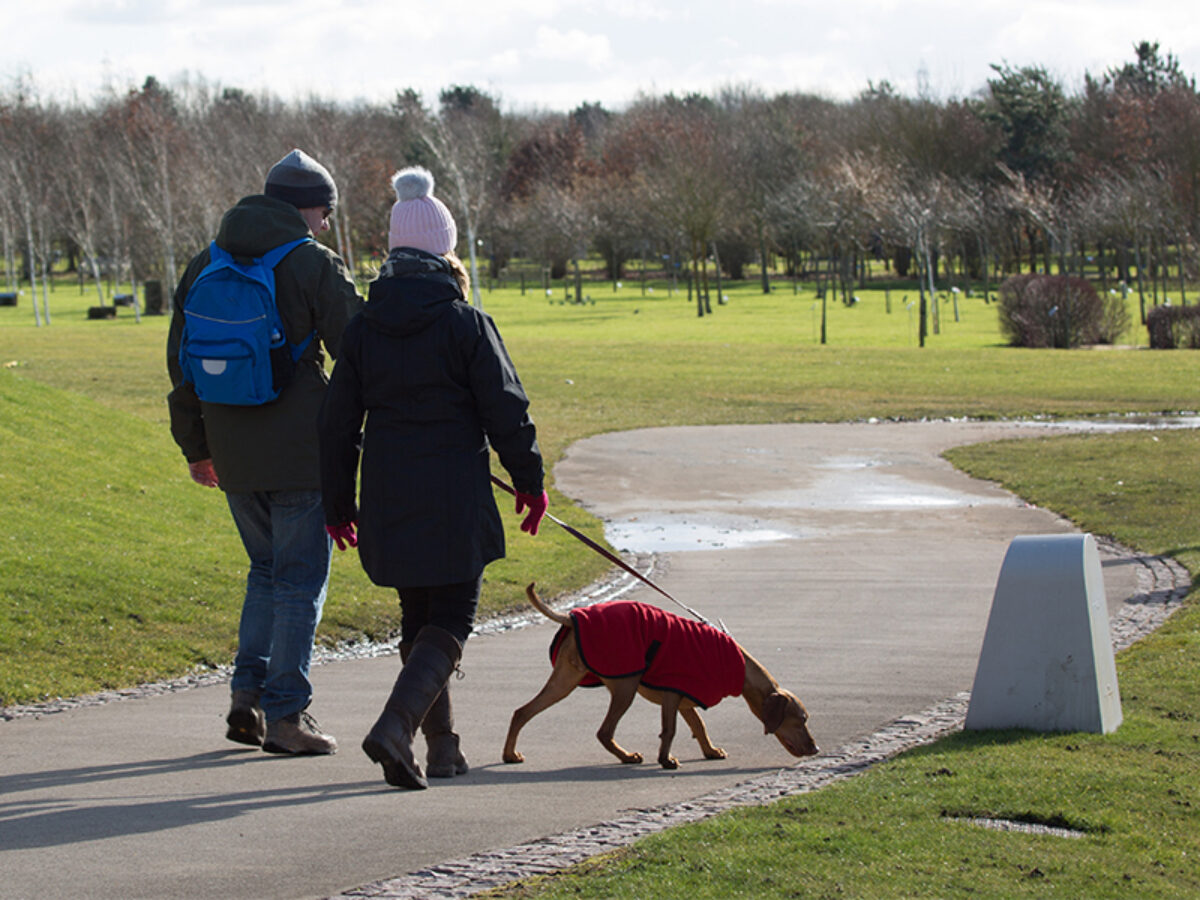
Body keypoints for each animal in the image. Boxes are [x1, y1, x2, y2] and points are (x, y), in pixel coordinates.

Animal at [501, 588, 820, 772]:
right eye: (801, 720)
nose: (816, 749)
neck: (738, 666)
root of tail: (572, 616)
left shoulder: (685, 698)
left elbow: (699, 726)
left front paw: (709, 751)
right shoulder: (672, 694)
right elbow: (669, 730)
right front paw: (666, 760)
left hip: (565, 681)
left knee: (522, 711)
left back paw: (509, 754)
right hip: (626, 686)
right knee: (604, 731)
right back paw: (627, 757)